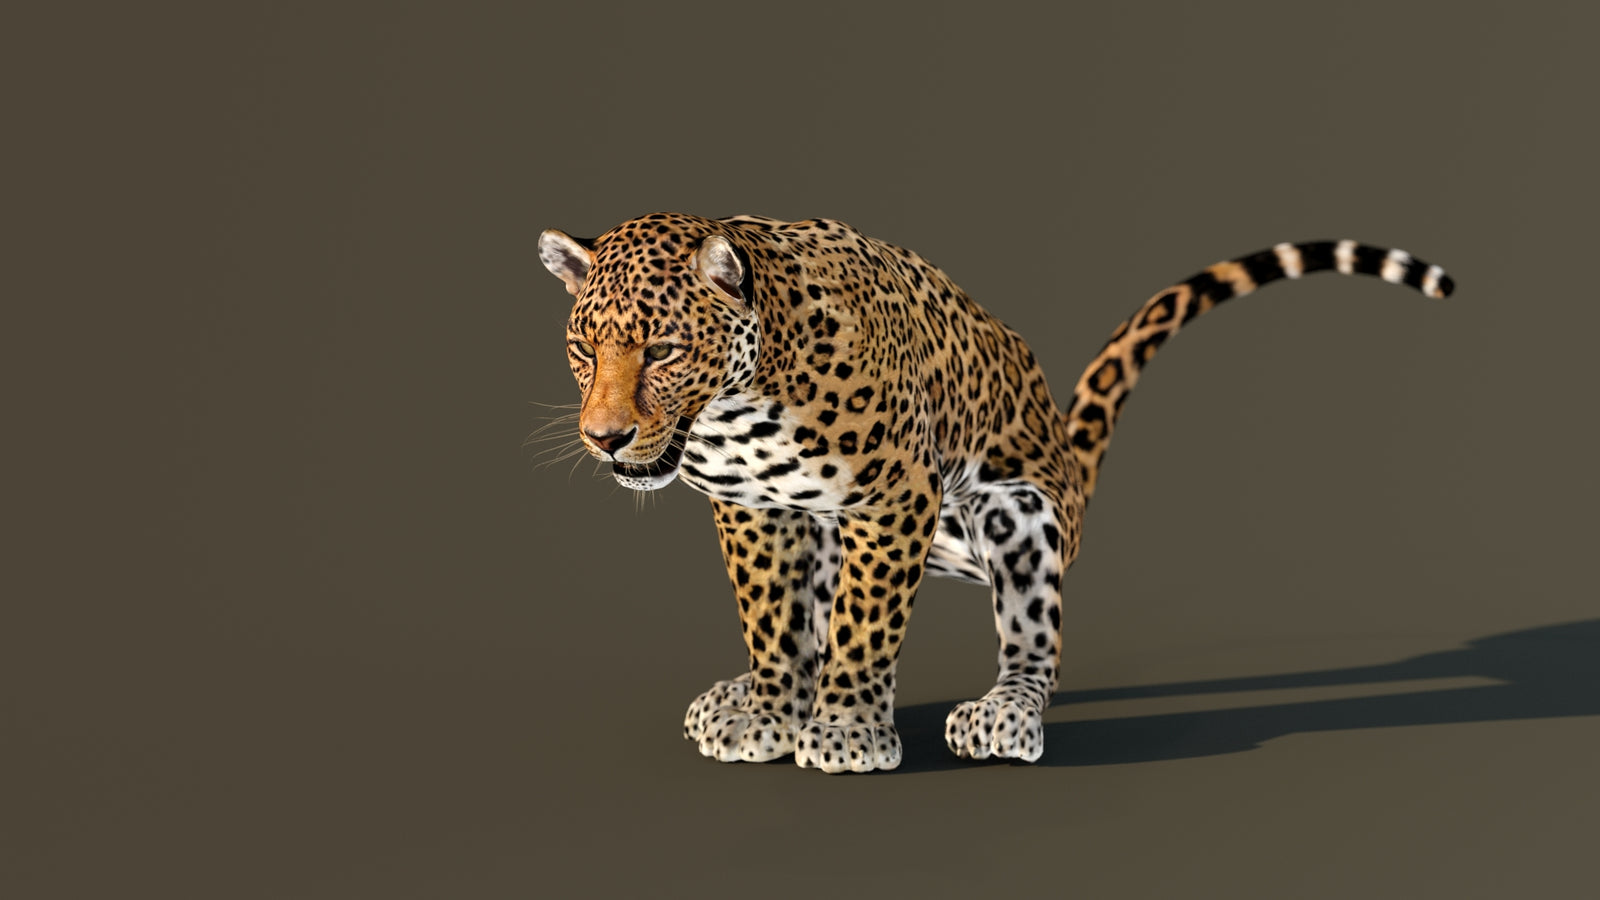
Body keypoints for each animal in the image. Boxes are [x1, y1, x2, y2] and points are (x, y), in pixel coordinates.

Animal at [536, 212, 1452, 774]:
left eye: (661, 350)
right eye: (583, 349)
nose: (604, 436)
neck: (740, 405)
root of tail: (1068, 463)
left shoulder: (894, 497)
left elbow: (865, 628)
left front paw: (845, 731)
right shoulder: (757, 509)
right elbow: (773, 620)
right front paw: (769, 711)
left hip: (1017, 514)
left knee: (1034, 644)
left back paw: (1001, 714)